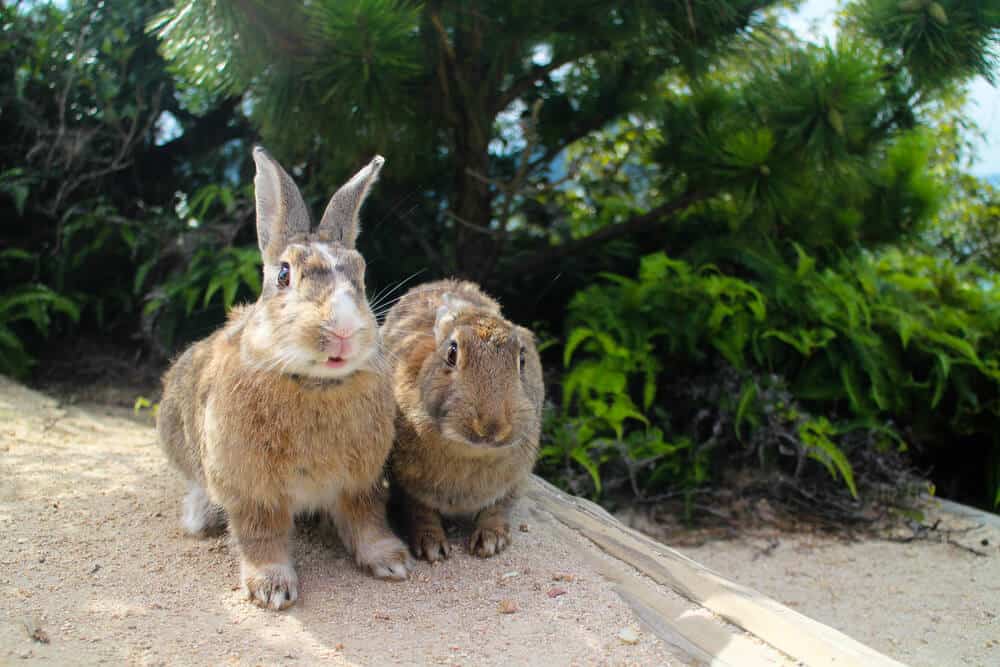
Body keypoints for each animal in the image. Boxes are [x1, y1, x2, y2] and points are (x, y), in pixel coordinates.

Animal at [156, 147, 412, 611]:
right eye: (283, 275)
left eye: (362, 274)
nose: (343, 331)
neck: (314, 385)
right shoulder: (253, 491)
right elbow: (262, 537)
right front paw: (272, 589)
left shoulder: (359, 484)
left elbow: (366, 520)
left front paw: (391, 562)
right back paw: (201, 517)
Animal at [381, 279, 544, 561]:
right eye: (452, 353)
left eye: (522, 360)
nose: (492, 427)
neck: (472, 451)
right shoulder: (408, 485)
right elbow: (420, 511)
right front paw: (432, 547)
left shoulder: (513, 479)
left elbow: (497, 508)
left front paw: (490, 542)